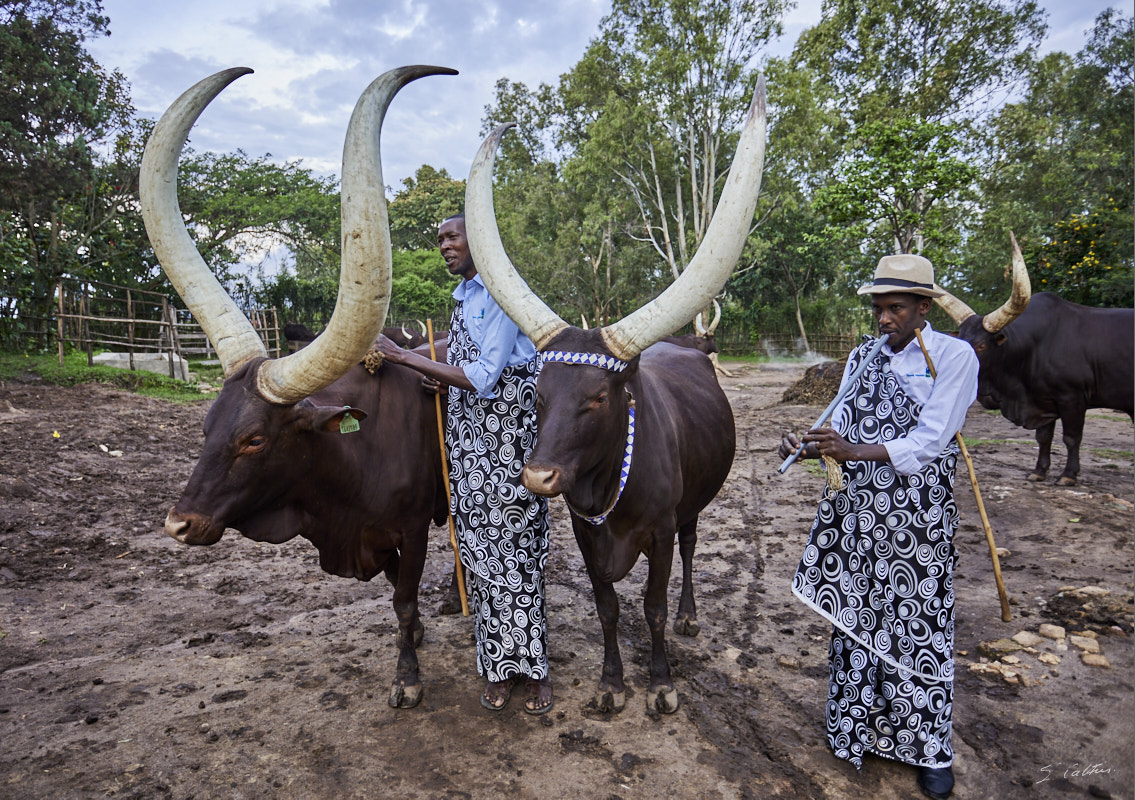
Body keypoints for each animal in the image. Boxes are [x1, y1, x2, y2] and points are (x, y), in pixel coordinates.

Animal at [141, 65, 456, 708]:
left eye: (255, 440)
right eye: (206, 427)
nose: (178, 525)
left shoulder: (412, 529)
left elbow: (404, 597)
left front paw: (407, 678)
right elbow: (400, 600)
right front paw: (416, 637)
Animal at [463, 78, 771, 712]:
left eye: (598, 399)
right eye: (538, 394)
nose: (539, 479)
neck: (609, 481)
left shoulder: (658, 531)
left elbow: (650, 608)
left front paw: (660, 684)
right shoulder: (586, 534)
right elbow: (606, 608)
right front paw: (610, 683)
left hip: (693, 507)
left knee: (692, 548)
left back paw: (689, 616)